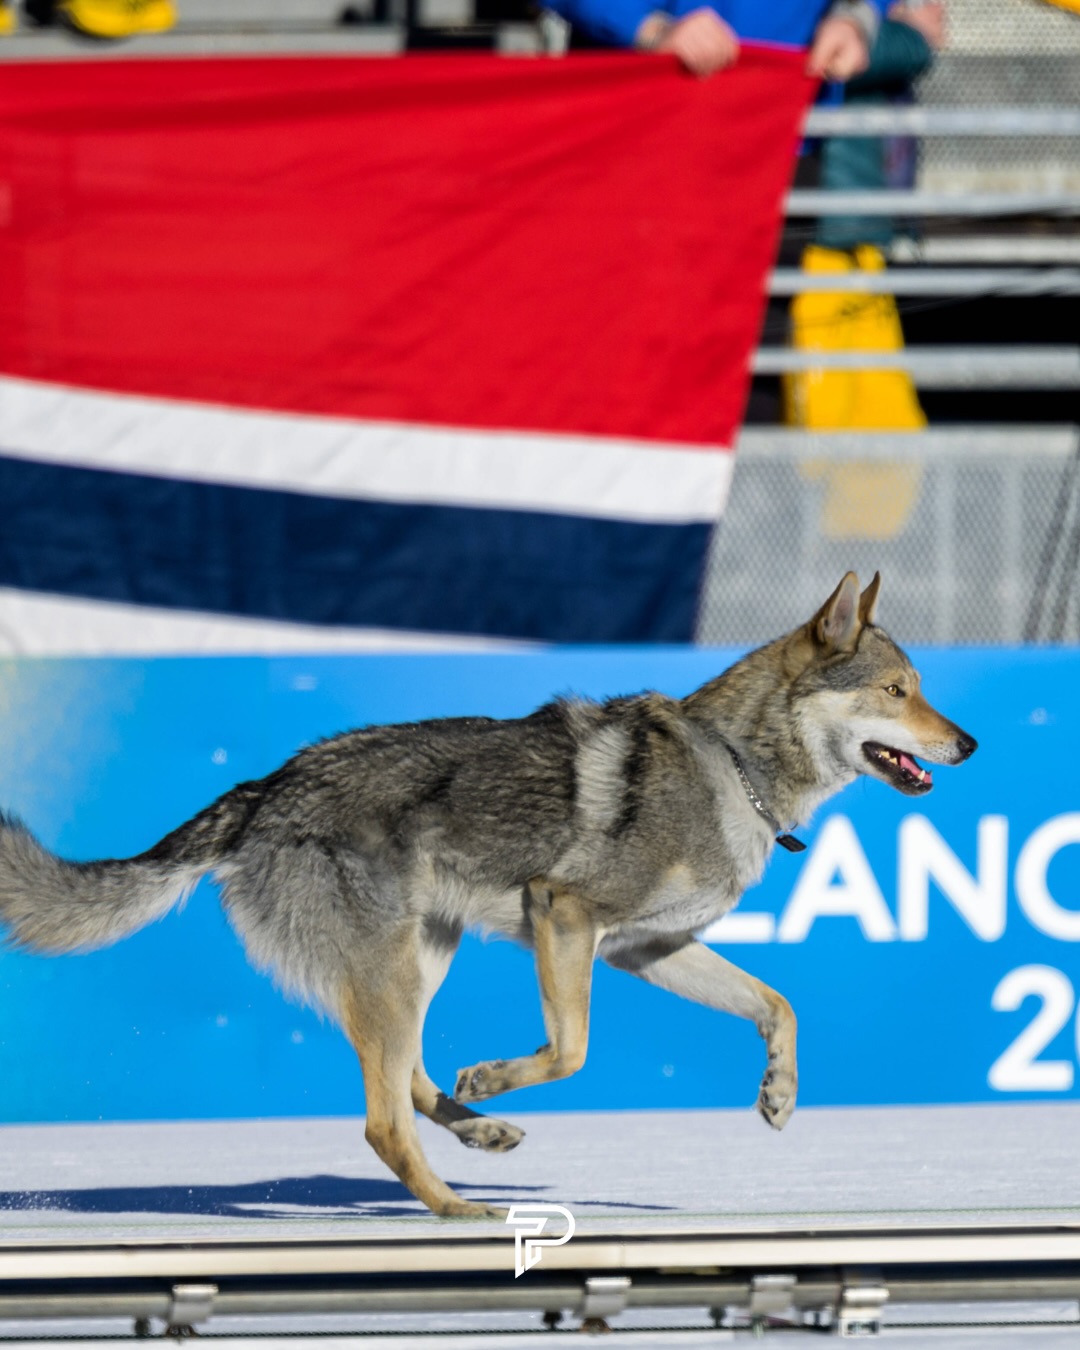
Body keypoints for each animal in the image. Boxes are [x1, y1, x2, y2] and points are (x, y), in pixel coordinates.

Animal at [0, 572, 975, 1218]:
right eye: (897, 691)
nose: (967, 743)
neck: (733, 768)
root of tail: (264, 788)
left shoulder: (643, 949)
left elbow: (779, 1004)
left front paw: (779, 1096)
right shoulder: (565, 913)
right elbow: (571, 1050)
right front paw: (502, 1076)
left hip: (422, 960)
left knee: (405, 1082)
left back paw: (480, 1137)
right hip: (397, 973)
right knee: (382, 1122)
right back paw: (463, 1209)